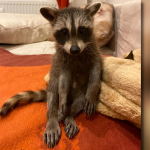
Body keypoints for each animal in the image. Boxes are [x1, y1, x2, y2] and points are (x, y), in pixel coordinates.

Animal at [0, 2, 102, 148]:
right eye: (64, 32)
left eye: (82, 30)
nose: (74, 50)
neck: (76, 54)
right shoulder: (63, 61)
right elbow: (63, 80)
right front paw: (63, 94)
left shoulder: (94, 52)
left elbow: (96, 71)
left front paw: (93, 91)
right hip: (53, 86)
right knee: (53, 96)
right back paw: (52, 118)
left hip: (80, 93)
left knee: (79, 102)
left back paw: (70, 116)